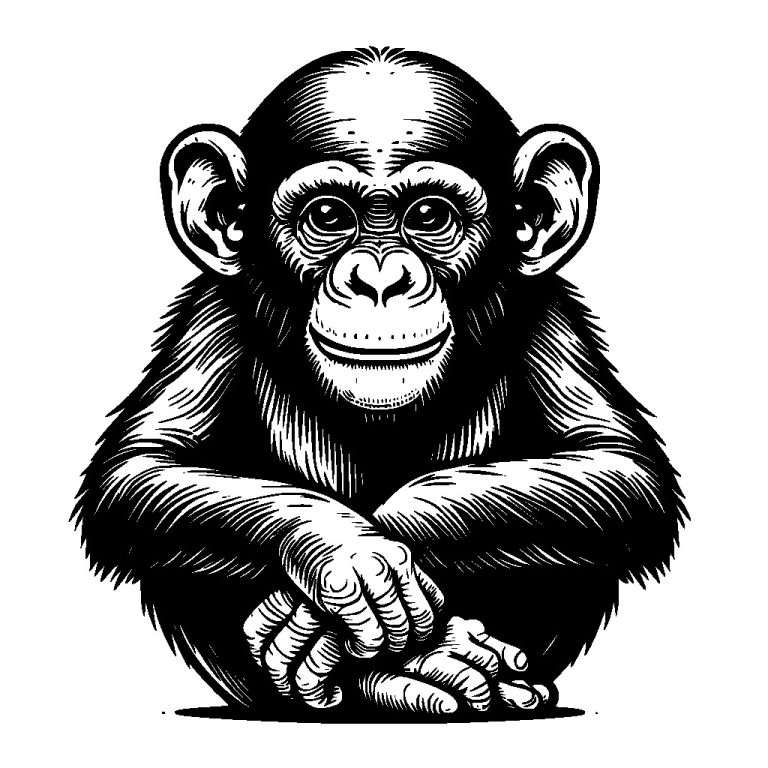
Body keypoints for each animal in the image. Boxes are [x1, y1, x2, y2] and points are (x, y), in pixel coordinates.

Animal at [74, 46, 685, 718]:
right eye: (326, 215)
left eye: (431, 215)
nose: (379, 279)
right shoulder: (210, 316)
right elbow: (144, 469)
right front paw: (346, 551)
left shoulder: (551, 317)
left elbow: (614, 467)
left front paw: (388, 540)